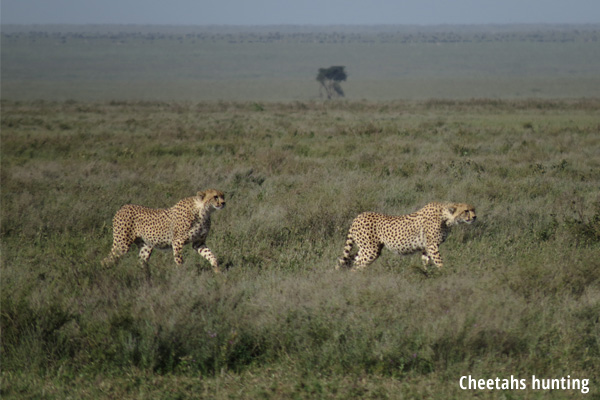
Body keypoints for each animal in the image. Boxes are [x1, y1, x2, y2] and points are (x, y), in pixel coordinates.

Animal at [336, 203, 476, 272]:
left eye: (474, 209)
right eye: (466, 211)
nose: (475, 217)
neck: (446, 216)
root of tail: (358, 216)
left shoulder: (426, 247)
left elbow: (426, 261)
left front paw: (427, 274)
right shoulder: (432, 245)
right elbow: (439, 262)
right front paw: (445, 273)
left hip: (367, 248)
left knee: (351, 259)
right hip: (371, 250)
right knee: (356, 266)